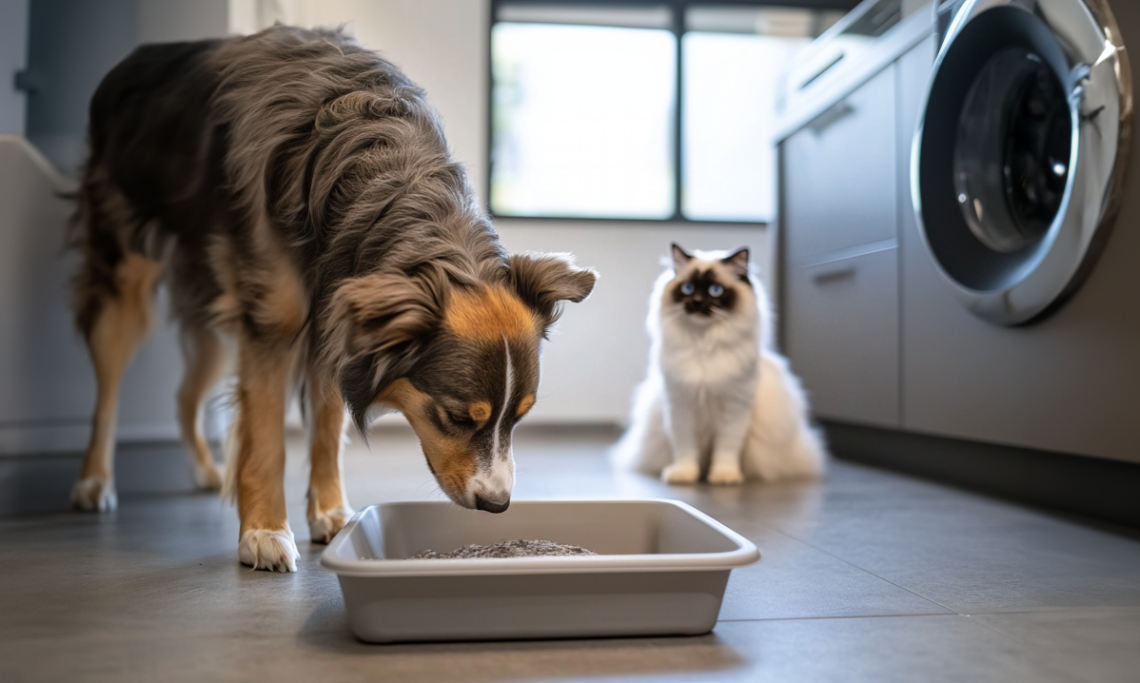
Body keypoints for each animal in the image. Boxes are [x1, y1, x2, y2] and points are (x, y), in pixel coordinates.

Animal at [66, 25, 597, 572]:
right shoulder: (270, 323)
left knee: (184, 394)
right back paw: (94, 481)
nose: (498, 504)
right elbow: (267, 439)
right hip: (125, 276)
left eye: (520, 418)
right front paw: (263, 532)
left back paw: (205, 470)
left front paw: (332, 515)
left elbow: (326, 426)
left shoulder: (338, 318)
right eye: (455, 416)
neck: (380, 175)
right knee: (107, 390)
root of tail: (135, 59)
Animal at [615, 242, 829, 483]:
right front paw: (684, 474)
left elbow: (726, 449)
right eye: (687, 288)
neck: (704, 345)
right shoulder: (681, 407)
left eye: (715, 290)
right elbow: (685, 448)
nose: (697, 302)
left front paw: (724, 476)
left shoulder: (735, 408)